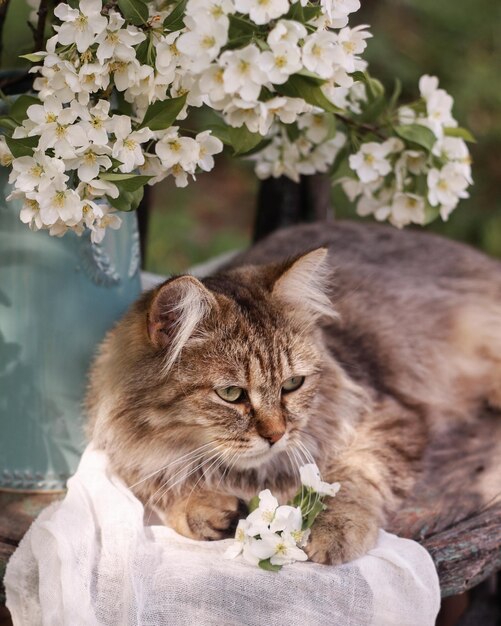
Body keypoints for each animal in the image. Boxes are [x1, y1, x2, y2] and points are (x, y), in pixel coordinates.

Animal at [86, 222, 500, 564]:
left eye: (292, 385)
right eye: (231, 393)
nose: (276, 435)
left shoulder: (388, 417)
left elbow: (354, 480)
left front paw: (333, 530)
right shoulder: (120, 444)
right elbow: (154, 479)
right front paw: (197, 504)